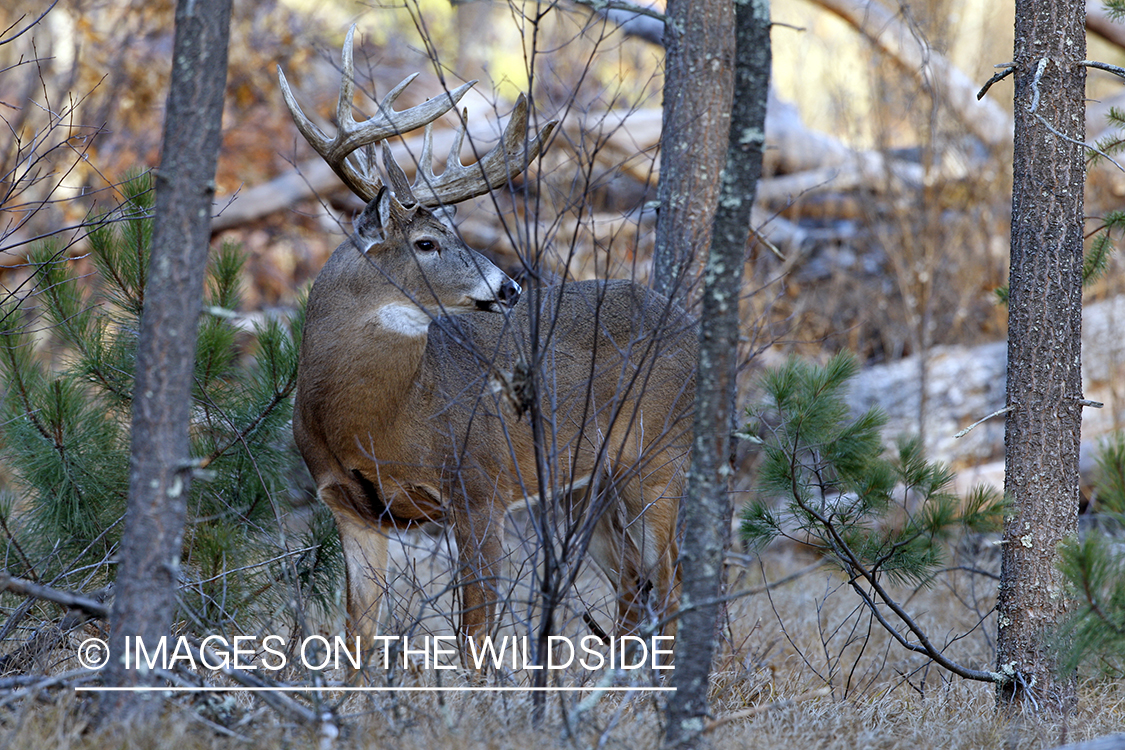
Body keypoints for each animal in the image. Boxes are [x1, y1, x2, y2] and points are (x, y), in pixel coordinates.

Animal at [279, 26, 693, 665]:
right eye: (426, 242)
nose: (510, 286)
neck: (375, 420)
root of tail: (689, 324)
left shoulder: (481, 488)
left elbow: (474, 637)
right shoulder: (350, 509)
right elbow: (357, 638)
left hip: (659, 454)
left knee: (668, 585)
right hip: (585, 487)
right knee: (632, 585)